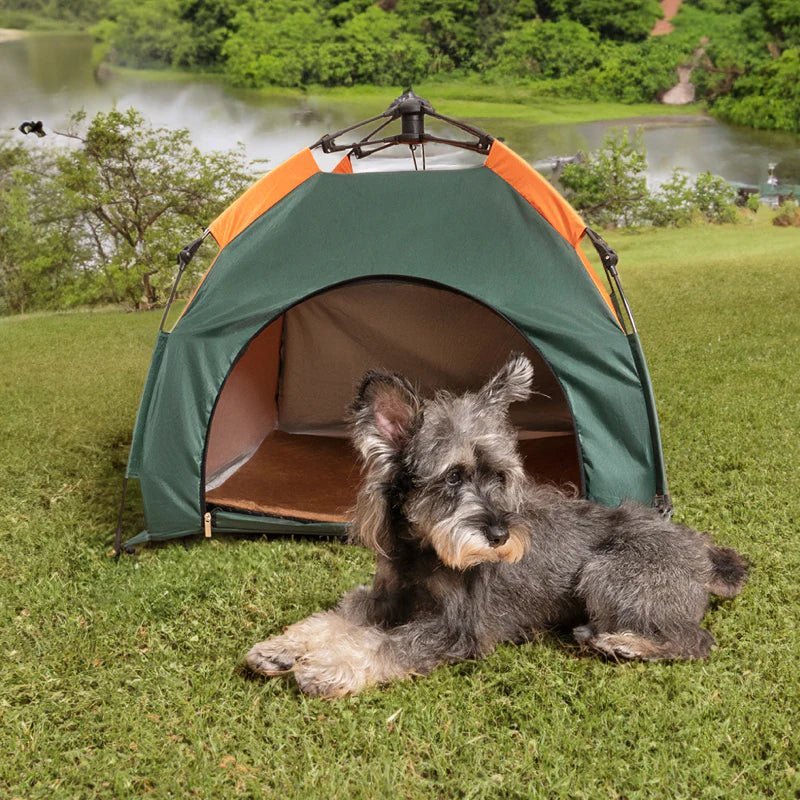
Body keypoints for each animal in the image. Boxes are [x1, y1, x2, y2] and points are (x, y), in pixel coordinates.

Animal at [247, 354, 748, 696]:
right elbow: (338, 616)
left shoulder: (457, 628)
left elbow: (384, 643)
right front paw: (282, 647)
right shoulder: (384, 595)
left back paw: (623, 644)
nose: (501, 537)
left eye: (501, 477)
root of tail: (704, 554)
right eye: (453, 476)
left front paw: (327, 665)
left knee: (694, 639)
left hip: (608, 573)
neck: (421, 550)